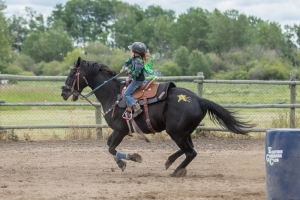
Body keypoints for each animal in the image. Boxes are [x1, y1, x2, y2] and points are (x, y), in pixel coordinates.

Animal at [61, 57, 253, 177]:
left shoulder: (120, 130)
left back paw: (176, 171)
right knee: (189, 150)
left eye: (71, 74)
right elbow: (109, 146)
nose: (63, 92)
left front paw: (131, 159)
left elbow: (110, 147)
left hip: (176, 132)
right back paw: (169, 162)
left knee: (190, 152)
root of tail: (199, 100)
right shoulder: (118, 131)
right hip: (183, 132)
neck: (113, 94)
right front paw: (122, 163)